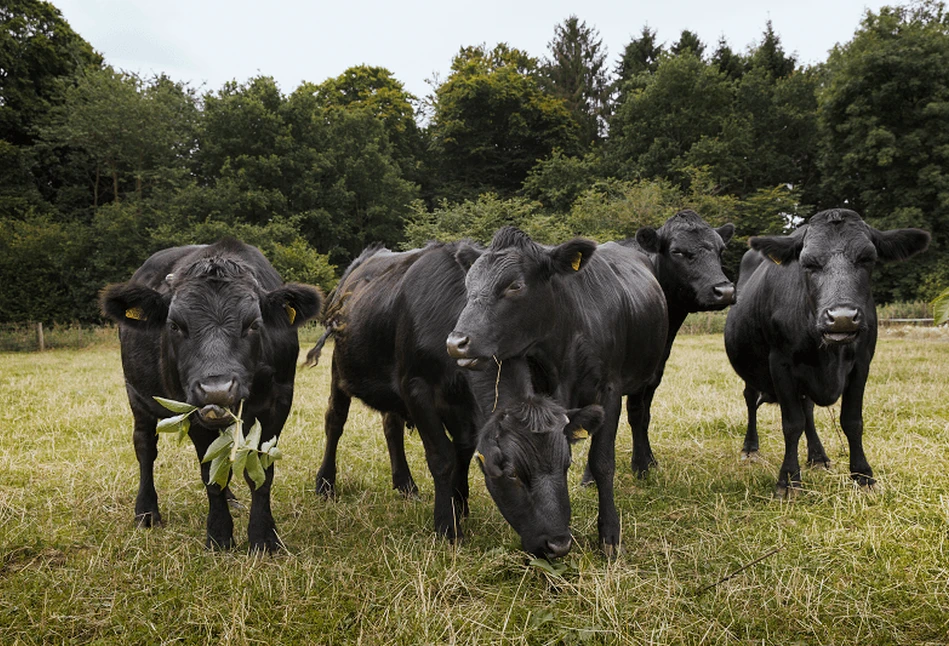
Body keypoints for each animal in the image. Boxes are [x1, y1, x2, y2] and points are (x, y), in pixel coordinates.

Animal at [101, 238, 322, 552]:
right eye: (175, 325)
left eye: (254, 324)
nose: (216, 389)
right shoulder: (191, 410)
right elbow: (210, 476)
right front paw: (219, 535)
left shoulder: (279, 403)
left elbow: (260, 475)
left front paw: (264, 537)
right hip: (136, 396)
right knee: (145, 448)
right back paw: (146, 512)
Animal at [446, 228, 668, 556]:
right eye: (468, 284)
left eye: (515, 285)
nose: (456, 343)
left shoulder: (609, 390)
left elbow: (603, 461)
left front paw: (609, 535)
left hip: (650, 373)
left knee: (639, 416)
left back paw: (643, 466)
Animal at [724, 210, 928, 498]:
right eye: (808, 263)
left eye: (868, 258)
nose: (842, 318)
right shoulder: (780, 364)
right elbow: (792, 423)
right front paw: (789, 480)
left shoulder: (862, 364)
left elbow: (852, 421)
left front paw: (863, 475)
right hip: (751, 370)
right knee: (751, 399)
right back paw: (751, 448)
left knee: (807, 409)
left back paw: (818, 455)